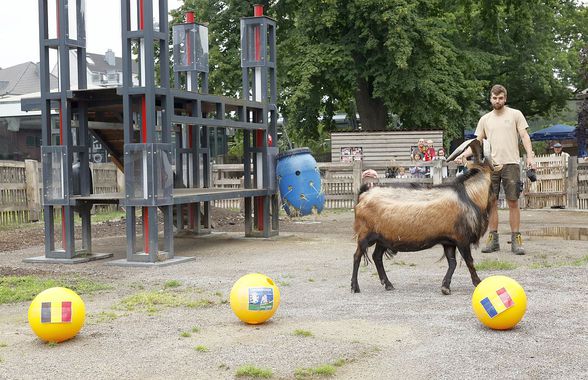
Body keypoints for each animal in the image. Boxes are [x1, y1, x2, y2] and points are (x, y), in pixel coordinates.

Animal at [352, 139, 494, 294]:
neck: (469, 195)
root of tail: (364, 195)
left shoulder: (449, 240)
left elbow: (452, 262)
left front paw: (445, 286)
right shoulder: (462, 239)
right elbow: (469, 261)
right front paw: (478, 282)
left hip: (382, 238)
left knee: (377, 256)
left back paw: (388, 284)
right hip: (365, 234)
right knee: (357, 256)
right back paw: (355, 286)